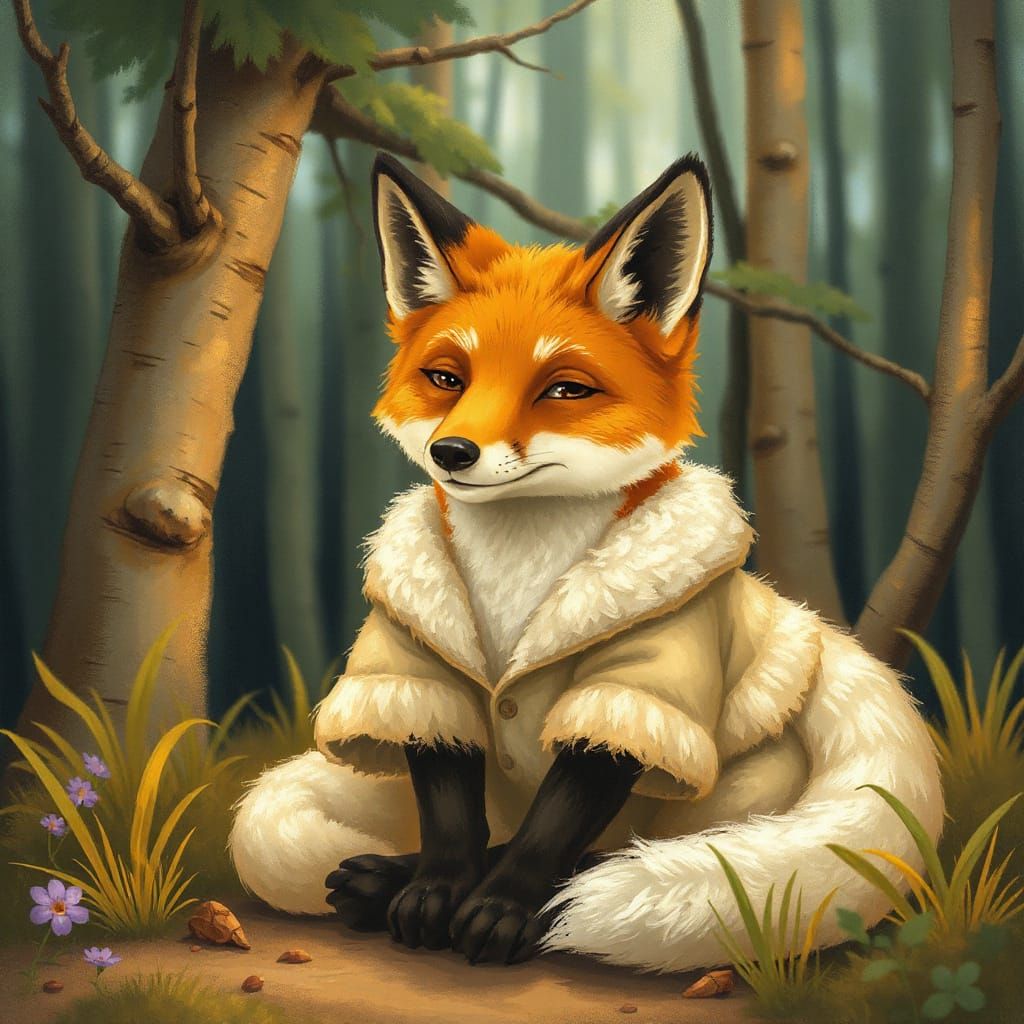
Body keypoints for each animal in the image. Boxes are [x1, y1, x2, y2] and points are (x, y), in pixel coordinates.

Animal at [229, 152, 943, 971]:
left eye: (564, 389)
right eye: (447, 379)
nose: (452, 452)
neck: (518, 573)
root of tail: (825, 647)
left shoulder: (641, 678)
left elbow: (557, 820)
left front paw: (505, 906)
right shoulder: (419, 658)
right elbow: (448, 807)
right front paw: (436, 888)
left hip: (721, 790)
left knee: (638, 845)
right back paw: (388, 879)